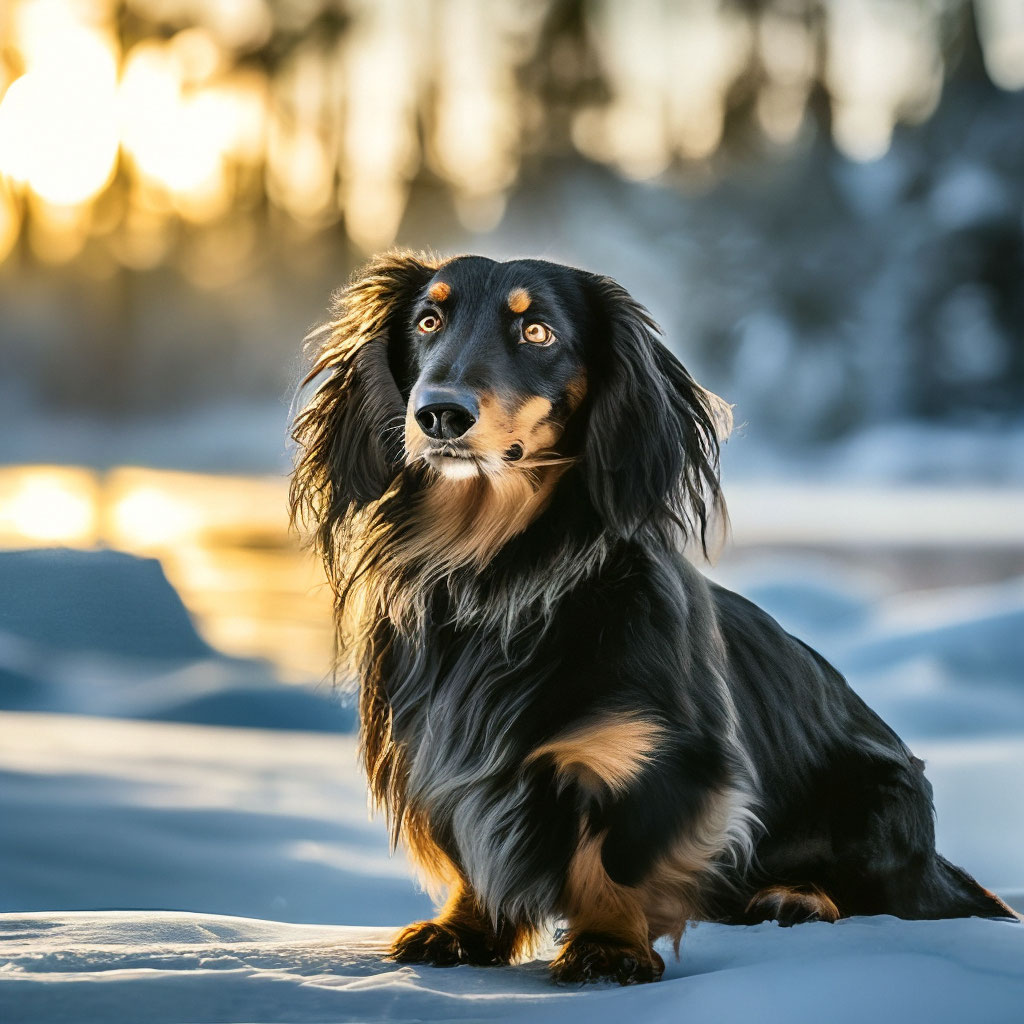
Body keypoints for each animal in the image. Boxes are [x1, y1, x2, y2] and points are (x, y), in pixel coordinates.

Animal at [288, 247, 1015, 983]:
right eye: (428, 321)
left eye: (537, 332)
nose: (439, 414)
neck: (493, 575)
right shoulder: (442, 759)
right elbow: (470, 852)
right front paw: (463, 931)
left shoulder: (661, 760)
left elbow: (616, 858)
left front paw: (609, 946)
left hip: (879, 797)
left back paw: (796, 897)